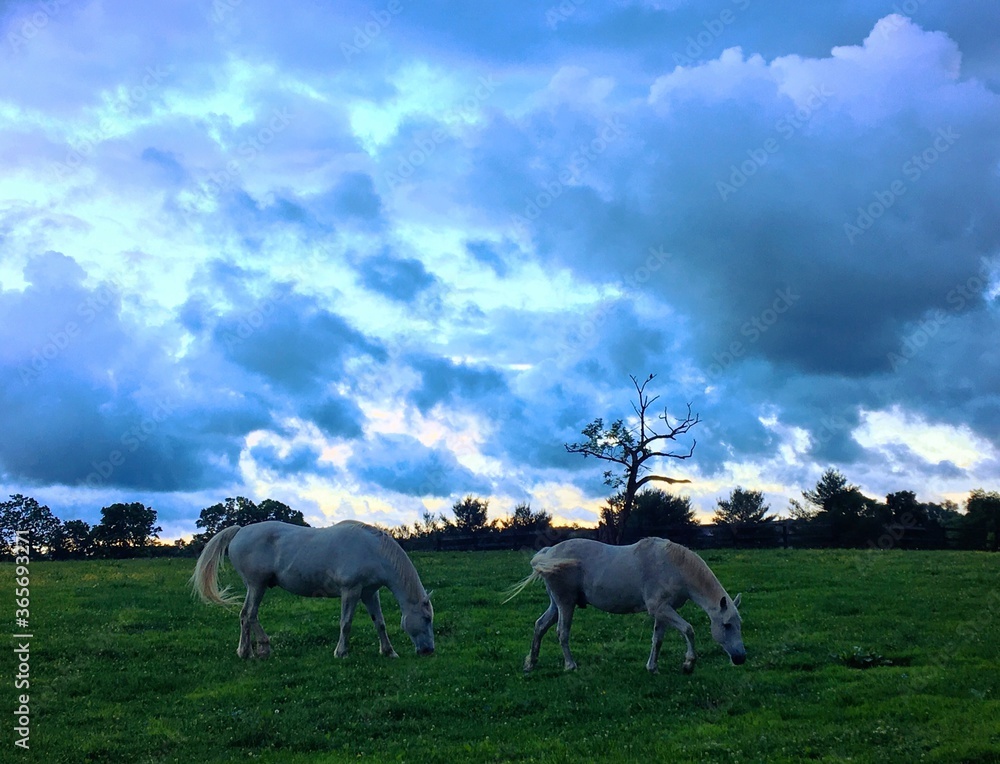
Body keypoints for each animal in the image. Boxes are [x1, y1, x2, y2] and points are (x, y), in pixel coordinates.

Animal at [190, 520, 434, 659]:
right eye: (427, 618)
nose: (428, 651)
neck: (373, 551)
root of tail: (240, 531)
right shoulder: (351, 591)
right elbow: (346, 623)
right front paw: (341, 652)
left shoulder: (369, 593)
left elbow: (380, 623)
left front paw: (389, 651)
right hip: (256, 585)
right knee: (248, 615)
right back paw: (248, 651)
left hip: (256, 587)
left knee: (249, 616)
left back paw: (258, 649)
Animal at [507, 537, 745, 673]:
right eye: (726, 625)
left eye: (738, 625)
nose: (740, 658)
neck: (673, 566)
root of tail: (549, 552)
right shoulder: (661, 609)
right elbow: (689, 629)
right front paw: (688, 664)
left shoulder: (663, 612)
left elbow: (657, 640)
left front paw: (652, 667)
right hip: (565, 603)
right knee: (561, 632)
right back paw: (570, 666)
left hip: (556, 605)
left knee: (540, 626)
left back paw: (531, 663)